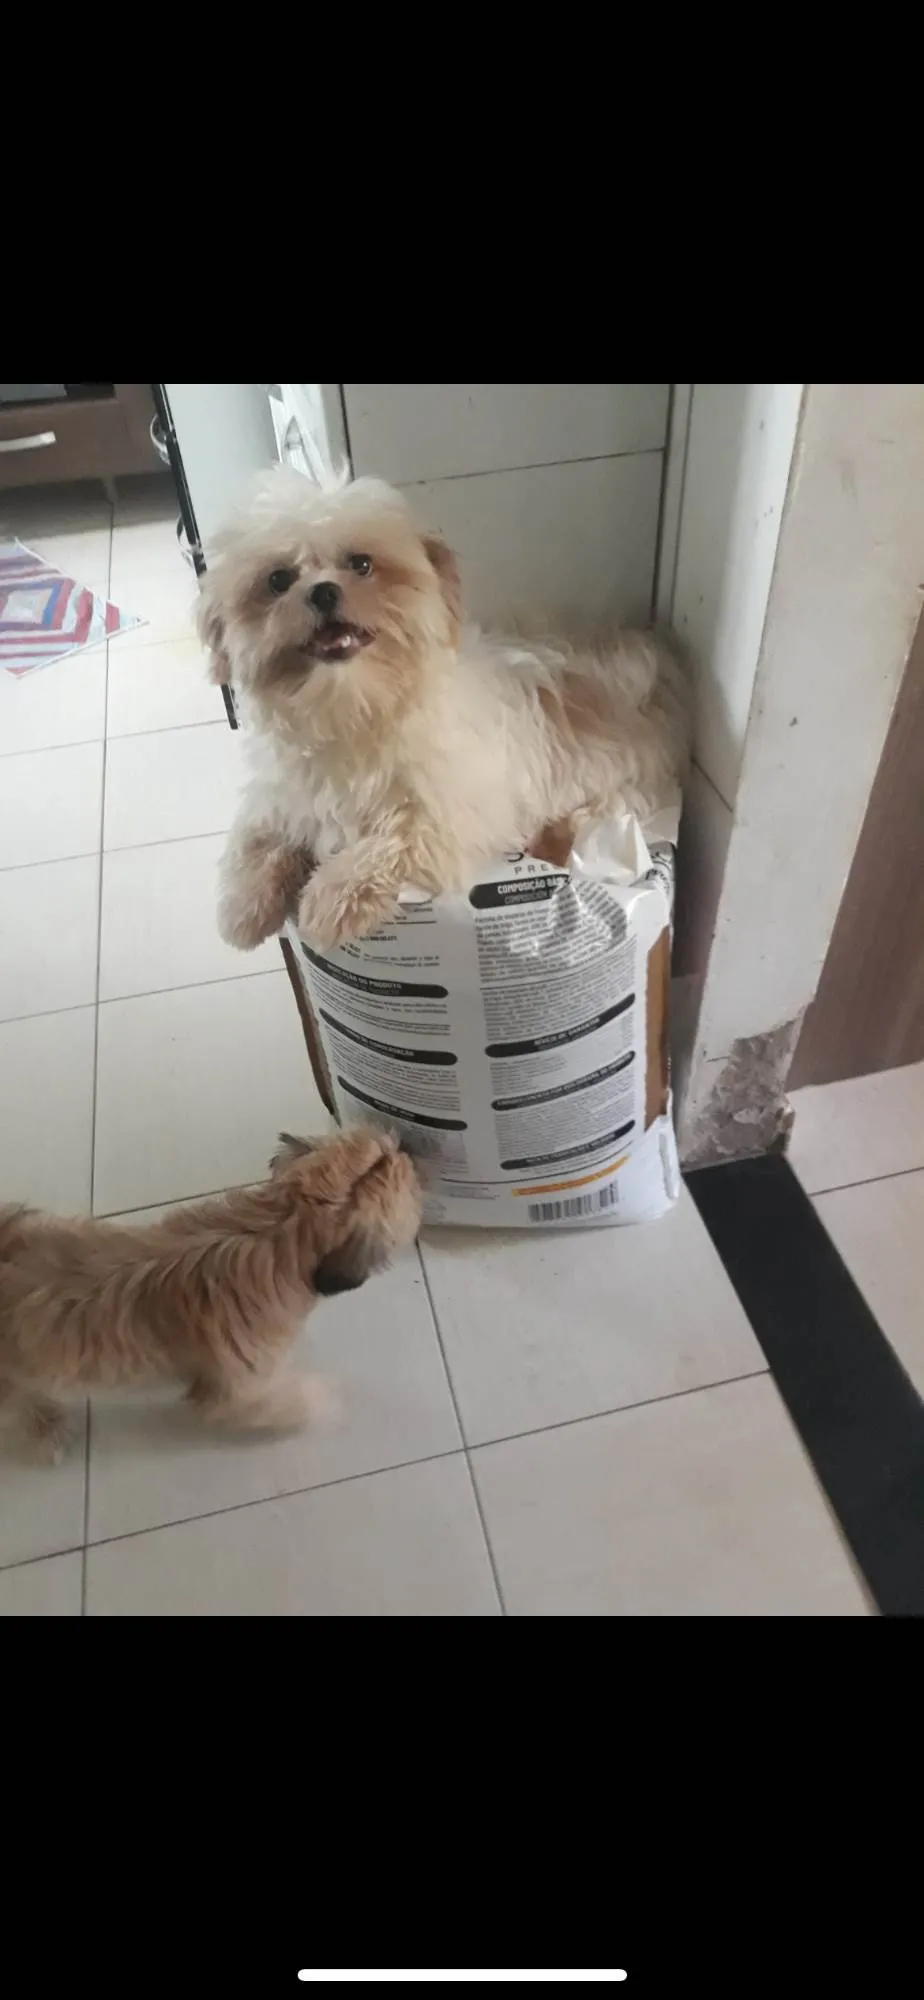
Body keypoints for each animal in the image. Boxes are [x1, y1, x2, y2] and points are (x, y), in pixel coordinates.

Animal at [0, 1128, 421, 1463]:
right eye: (396, 1163)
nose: (407, 1144)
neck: (281, 1231)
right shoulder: (237, 1384)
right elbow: (269, 1403)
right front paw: (321, 1403)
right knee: (19, 1406)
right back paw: (47, 1431)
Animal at [197, 466, 691, 954]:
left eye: (361, 564)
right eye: (278, 580)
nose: (321, 592)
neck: (353, 711)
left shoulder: (449, 813)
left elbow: (395, 838)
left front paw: (332, 898)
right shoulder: (282, 795)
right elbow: (256, 837)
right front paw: (242, 908)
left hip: (619, 790)